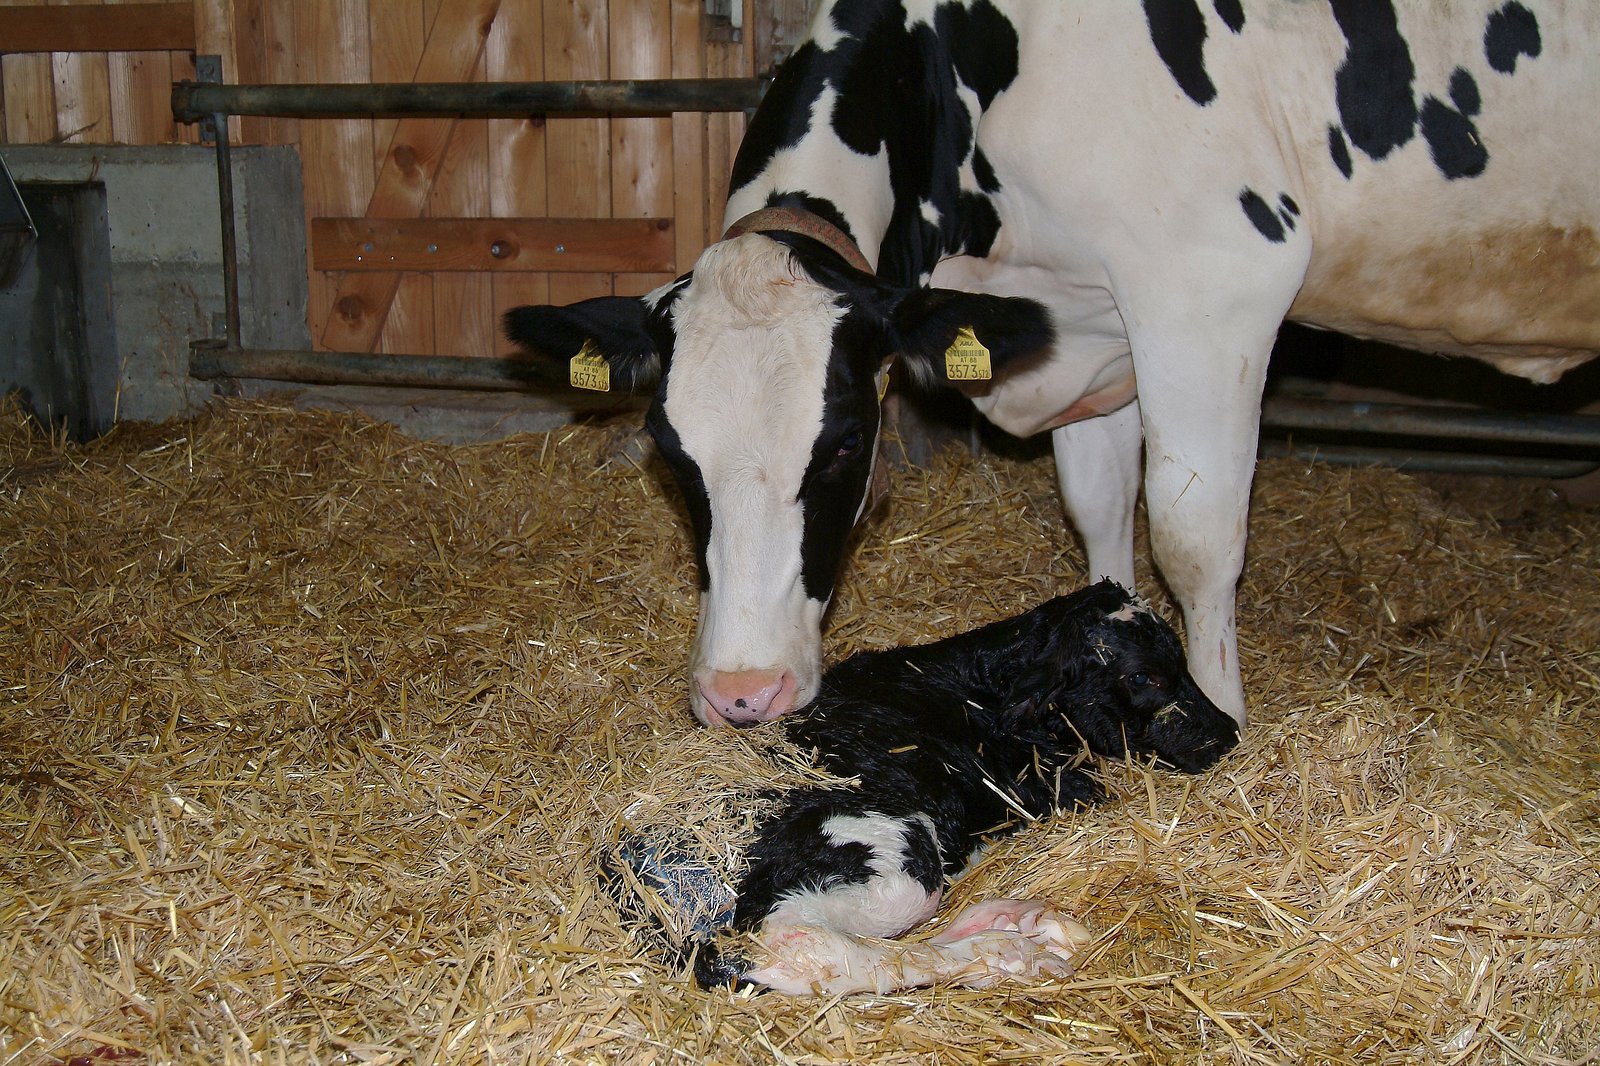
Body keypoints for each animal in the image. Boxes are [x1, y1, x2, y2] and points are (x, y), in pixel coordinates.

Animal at [508, 0, 1600, 726]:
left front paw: (1220, 716)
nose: (742, 693)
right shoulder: (1089, 327)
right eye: (669, 451)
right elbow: (1101, 514)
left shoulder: (1211, 279)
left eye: (846, 444)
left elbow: (1193, 535)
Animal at [604, 576, 1241, 992]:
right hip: (891, 856)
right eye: (1145, 677)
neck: (977, 682)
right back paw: (1006, 952)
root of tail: (635, 862)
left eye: (1181, 661)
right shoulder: (1047, 787)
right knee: (805, 950)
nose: (1228, 732)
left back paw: (1010, 923)